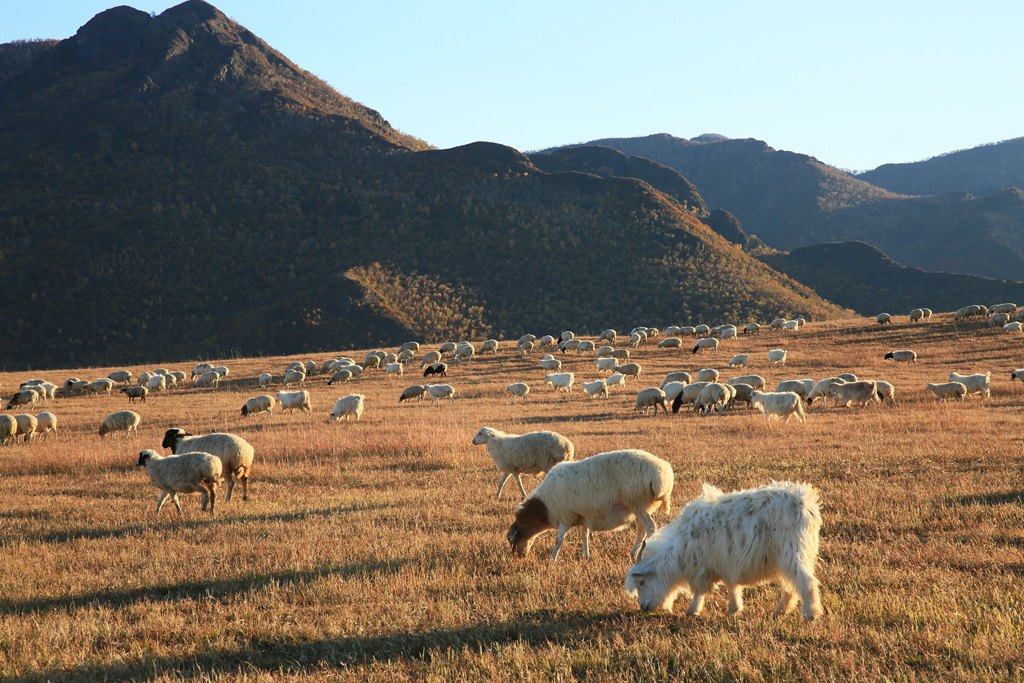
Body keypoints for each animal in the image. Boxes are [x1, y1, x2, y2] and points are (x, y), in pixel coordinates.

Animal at [507, 448, 675, 561]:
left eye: (515, 538)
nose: (518, 557)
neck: (545, 507)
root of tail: (663, 476)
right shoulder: (583, 517)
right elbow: (584, 535)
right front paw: (585, 556)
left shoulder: (566, 517)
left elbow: (559, 539)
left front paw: (553, 558)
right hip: (641, 507)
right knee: (642, 530)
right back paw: (634, 553)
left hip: (637, 503)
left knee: (651, 527)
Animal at [622, 483, 823, 622]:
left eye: (642, 582)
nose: (643, 607)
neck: (680, 548)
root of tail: (804, 504)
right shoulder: (726, 564)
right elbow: (732, 586)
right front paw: (734, 608)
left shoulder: (703, 568)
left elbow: (700, 591)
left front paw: (692, 610)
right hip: (791, 557)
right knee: (791, 586)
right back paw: (780, 611)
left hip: (792, 553)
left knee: (807, 583)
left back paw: (810, 614)